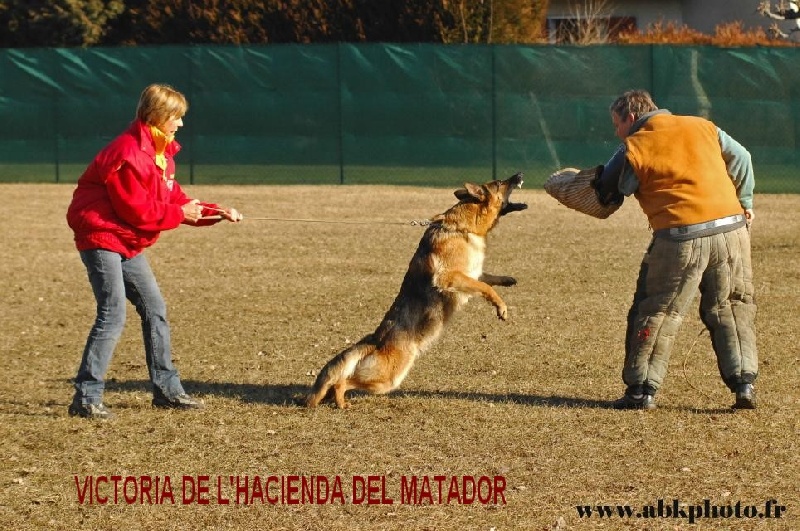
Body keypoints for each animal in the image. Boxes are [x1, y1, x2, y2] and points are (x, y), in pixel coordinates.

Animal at [304, 172, 524, 410]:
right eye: (500, 183)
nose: (520, 174)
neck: (462, 227)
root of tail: (375, 341)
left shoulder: (471, 274)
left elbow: (488, 281)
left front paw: (508, 281)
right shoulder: (450, 277)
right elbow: (486, 287)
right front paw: (501, 307)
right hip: (388, 378)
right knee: (342, 381)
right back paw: (341, 401)